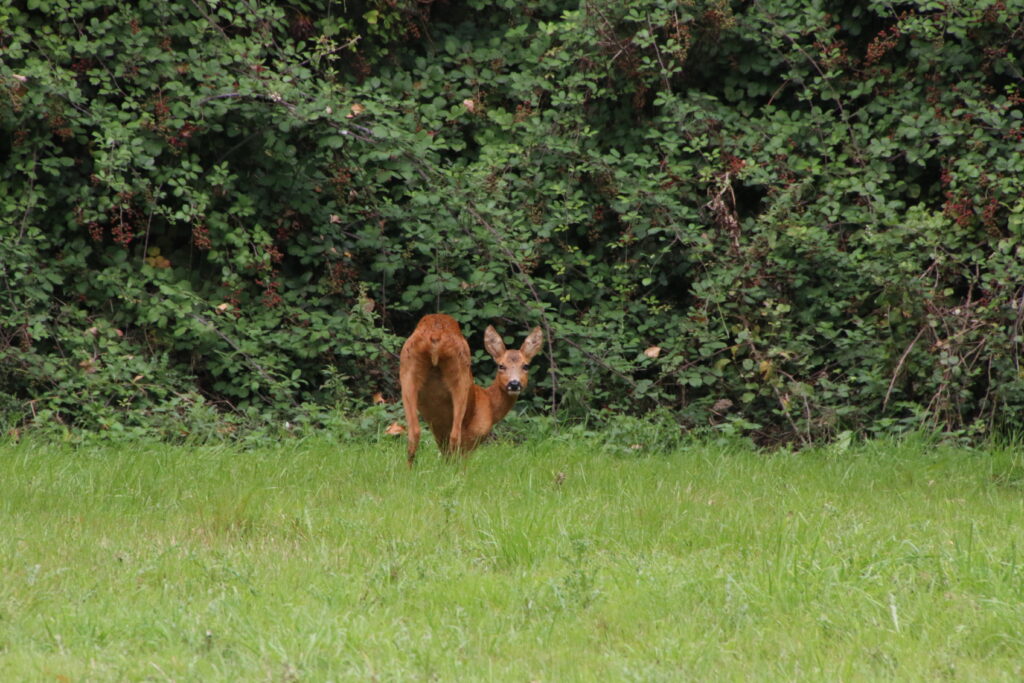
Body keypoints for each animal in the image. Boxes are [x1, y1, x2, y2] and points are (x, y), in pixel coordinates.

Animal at [397, 313, 544, 464]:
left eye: (526, 366)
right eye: (501, 366)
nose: (514, 384)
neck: (489, 403)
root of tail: (436, 333)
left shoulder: (440, 434)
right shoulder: (474, 436)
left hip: (407, 369)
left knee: (414, 432)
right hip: (461, 373)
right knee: (455, 435)